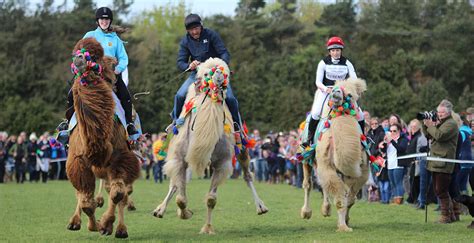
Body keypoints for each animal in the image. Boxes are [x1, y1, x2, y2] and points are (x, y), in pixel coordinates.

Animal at [65, 37, 140, 238]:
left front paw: (106, 225)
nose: (78, 59)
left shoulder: (121, 158)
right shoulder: (78, 160)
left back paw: (119, 229)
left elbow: (117, 194)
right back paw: (74, 222)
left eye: (92, 57)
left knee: (117, 192)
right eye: (75, 52)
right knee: (83, 195)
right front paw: (94, 225)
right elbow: (86, 202)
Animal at [155, 58, 268, 234]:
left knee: (247, 175)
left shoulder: (222, 163)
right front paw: (185, 213)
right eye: (204, 75)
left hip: (241, 147)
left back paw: (260, 207)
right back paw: (160, 210)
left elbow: (210, 199)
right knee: (175, 185)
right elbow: (181, 198)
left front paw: (207, 228)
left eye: (226, 73)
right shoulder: (179, 159)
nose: (219, 76)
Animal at [300, 78, 370, 232]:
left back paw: (326, 210)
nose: (335, 93)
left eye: (350, 95)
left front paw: (346, 221)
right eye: (334, 88)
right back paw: (306, 213)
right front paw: (343, 227)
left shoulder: (358, 172)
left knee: (324, 184)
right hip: (306, 157)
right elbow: (339, 199)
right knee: (308, 184)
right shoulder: (328, 166)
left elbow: (350, 199)